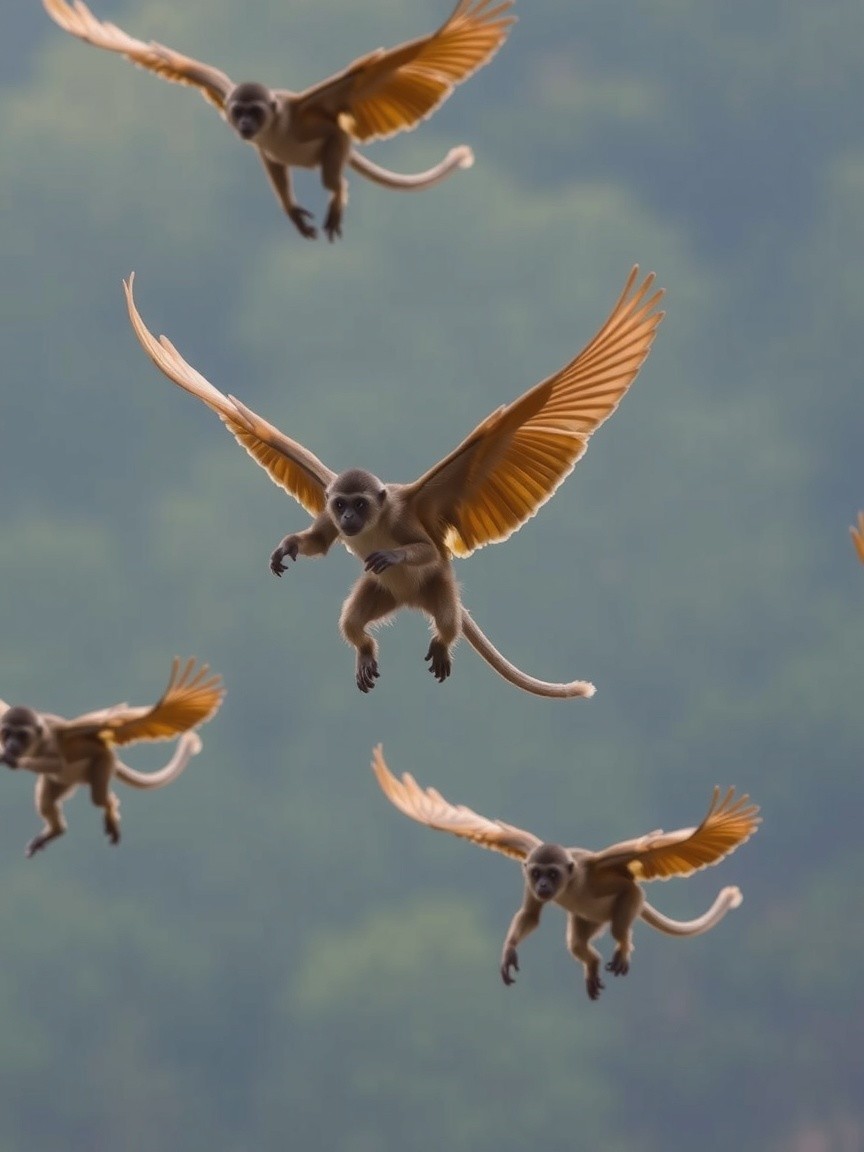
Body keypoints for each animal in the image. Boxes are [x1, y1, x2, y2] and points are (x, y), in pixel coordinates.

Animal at [0, 658, 224, 856]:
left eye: (21, 735)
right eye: (7, 733)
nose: (12, 745)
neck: (37, 744)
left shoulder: (50, 743)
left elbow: (57, 763)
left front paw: (17, 761)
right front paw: (8, 755)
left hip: (102, 762)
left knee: (98, 798)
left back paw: (109, 808)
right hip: (65, 780)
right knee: (46, 801)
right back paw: (56, 831)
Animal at [43, 0, 515, 241]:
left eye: (253, 112)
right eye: (238, 111)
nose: (244, 125)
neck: (275, 124)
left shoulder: (317, 118)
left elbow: (379, 67)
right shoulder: (245, 121)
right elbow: (166, 57)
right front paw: (291, 211)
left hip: (339, 142)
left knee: (333, 170)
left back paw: (338, 197)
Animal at [124, 266, 664, 698]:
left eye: (360, 504)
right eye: (342, 505)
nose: (348, 517)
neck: (377, 518)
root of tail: (409, 600)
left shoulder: (408, 519)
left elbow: (422, 545)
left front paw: (399, 554)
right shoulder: (327, 499)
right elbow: (315, 535)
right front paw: (292, 545)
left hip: (440, 584)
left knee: (444, 613)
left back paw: (443, 640)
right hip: (379, 592)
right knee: (352, 619)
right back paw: (364, 648)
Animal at [371, 745, 760, 999]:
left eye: (553, 874)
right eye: (538, 874)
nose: (544, 884)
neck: (572, 881)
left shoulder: (610, 869)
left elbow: (634, 877)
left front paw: (623, 946)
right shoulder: (527, 865)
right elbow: (529, 915)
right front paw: (509, 949)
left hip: (618, 907)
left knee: (623, 913)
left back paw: (620, 947)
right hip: (586, 918)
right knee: (577, 941)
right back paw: (592, 963)